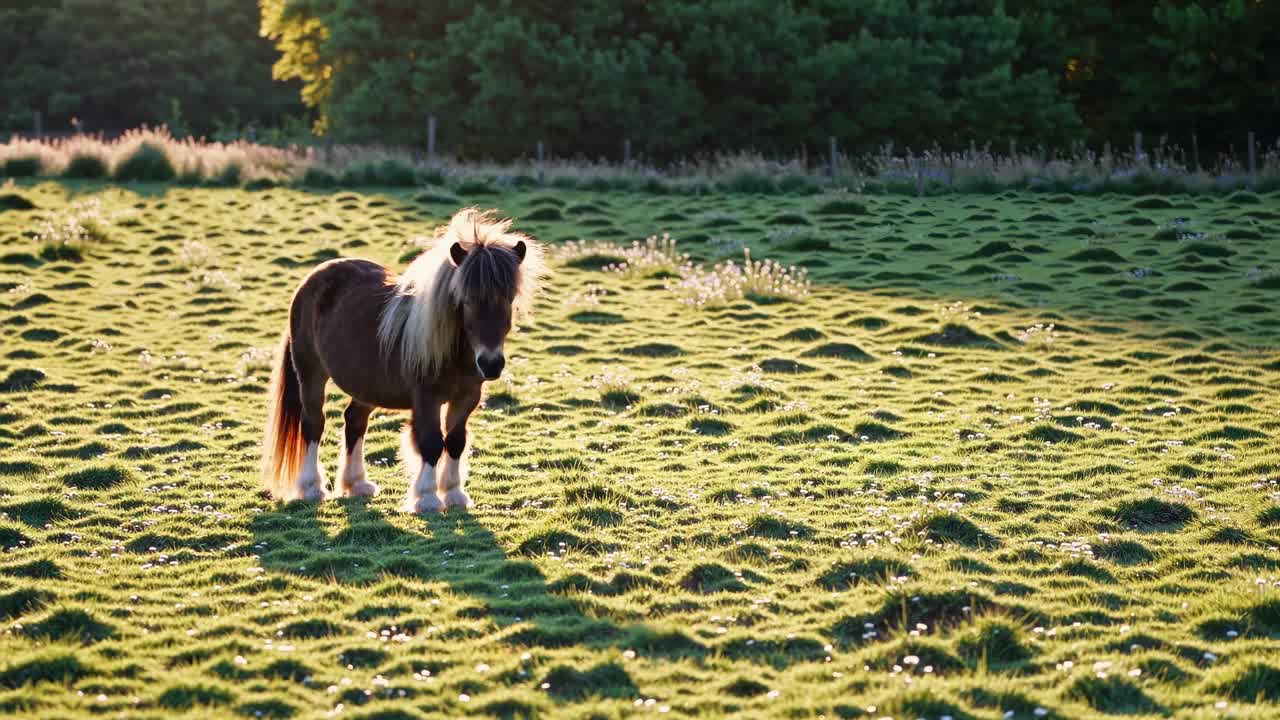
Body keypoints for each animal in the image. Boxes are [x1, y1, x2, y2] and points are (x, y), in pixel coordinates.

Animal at [259, 208, 545, 512]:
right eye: (466, 300)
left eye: (509, 299)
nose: (491, 364)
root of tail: (312, 279)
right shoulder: (426, 399)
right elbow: (431, 443)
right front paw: (428, 498)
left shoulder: (466, 397)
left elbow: (455, 441)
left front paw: (454, 494)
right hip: (311, 372)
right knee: (314, 423)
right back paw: (312, 488)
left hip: (366, 384)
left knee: (354, 421)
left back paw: (357, 484)